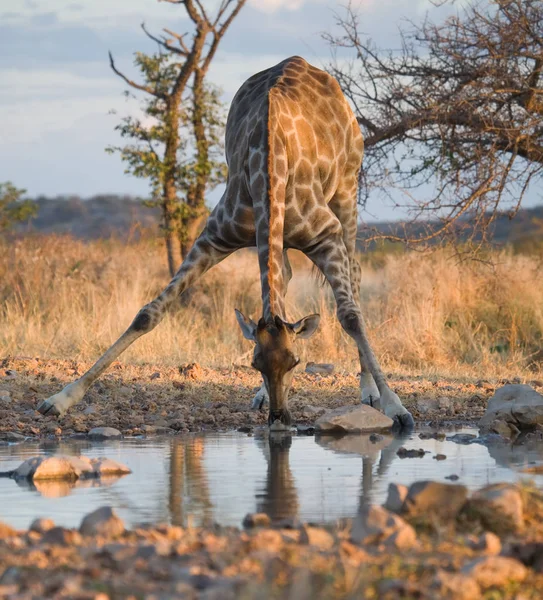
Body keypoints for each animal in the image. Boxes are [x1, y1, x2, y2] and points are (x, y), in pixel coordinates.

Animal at [36, 56, 414, 428]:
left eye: (295, 361)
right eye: (255, 364)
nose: (279, 417)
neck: (269, 172)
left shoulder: (326, 236)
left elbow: (350, 316)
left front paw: (396, 406)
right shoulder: (214, 237)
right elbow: (149, 313)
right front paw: (60, 399)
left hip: (348, 190)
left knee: (355, 273)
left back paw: (368, 391)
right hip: (281, 235)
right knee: (285, 278)